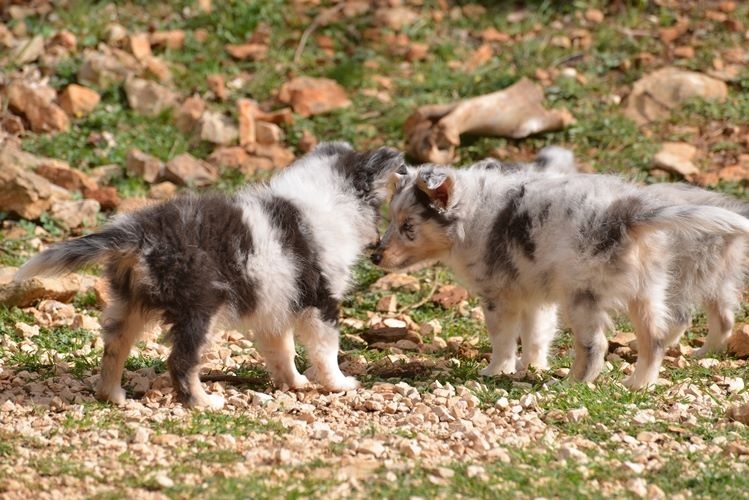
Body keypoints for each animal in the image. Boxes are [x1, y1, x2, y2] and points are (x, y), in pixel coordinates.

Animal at [14, 141, 404, 406]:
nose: (376, 249)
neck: (330, 198)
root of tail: (137, 233)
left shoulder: (275, 307)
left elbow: (283, 351)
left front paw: (294, 383)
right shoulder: (322, 302)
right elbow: (326, 351)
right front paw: (340, 384)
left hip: (130, 301)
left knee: (114, 346)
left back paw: (112, 395)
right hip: (200, 306)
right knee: (180, 361)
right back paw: (203, 403)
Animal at [372, 150, 748, 388]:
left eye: (408, 226)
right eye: (391, 220)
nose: (375, 257)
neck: (472, 213)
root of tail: (628, 216)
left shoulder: (498, 298)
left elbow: (503, 340)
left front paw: (496, 371)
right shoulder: (535, 297)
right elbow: (536, 337)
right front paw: (532, 368)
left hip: (583, 296)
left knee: (596, 345)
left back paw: (571, 383)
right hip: (647, 291)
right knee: (654, 340)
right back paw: (637, 384)